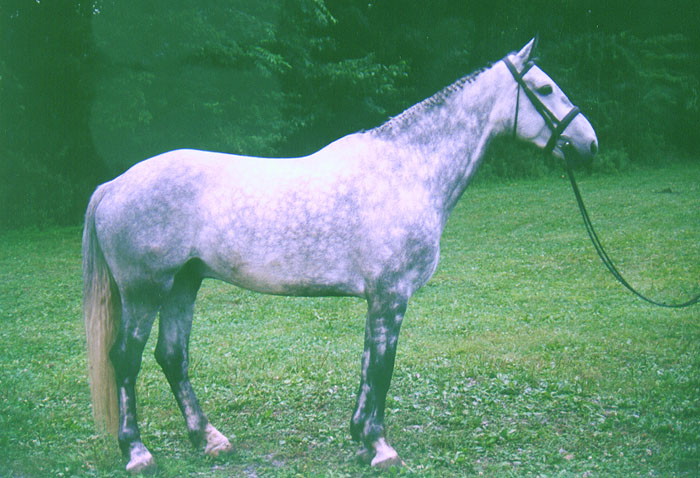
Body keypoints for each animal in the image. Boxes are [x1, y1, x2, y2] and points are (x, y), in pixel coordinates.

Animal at [83, 38, 598, 473]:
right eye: (544, 88)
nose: (588, 144)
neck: (407, 171)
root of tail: (114, 185)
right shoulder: (391, 294)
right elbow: (383, 367)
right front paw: (380, 446)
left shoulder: (379, 297)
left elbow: (370, 363)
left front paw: (361, 437)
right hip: (145, 292)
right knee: (126, 360)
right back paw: (137, 453)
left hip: (183, 284)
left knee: (172, 357)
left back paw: (209, 439)